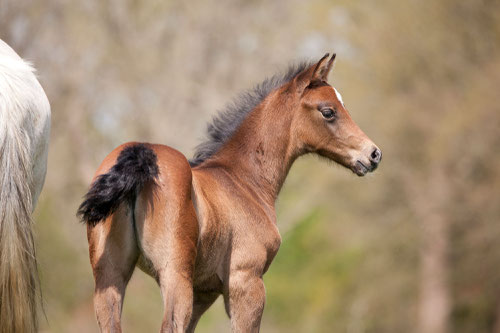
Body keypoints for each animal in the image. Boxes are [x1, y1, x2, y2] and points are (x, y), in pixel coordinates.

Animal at [77, 53, 382, 330]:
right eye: (328, 111)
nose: (373, 154)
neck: (243, 180)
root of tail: (141, 154)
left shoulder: (203, 291)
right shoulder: (246, 283)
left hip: (110, 276)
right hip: (174, 274)